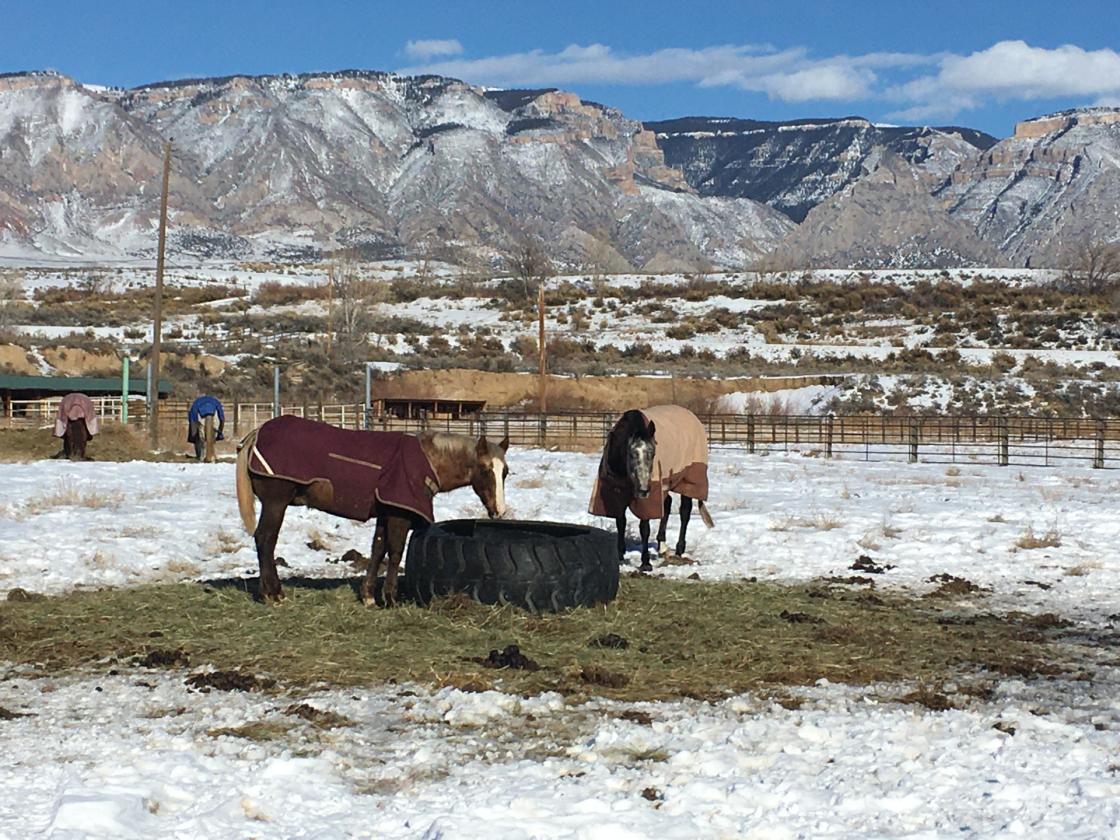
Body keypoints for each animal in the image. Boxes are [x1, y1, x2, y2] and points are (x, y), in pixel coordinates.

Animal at [235, 414, 510, 606]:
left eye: (505, 472)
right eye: (485, 470)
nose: (499, 511)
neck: (427, 462)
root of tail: (257, 434)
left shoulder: (386, 513)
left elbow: (378, 549)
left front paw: (369, 597)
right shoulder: (399, 515)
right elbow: (396, 552)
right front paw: (390, 598)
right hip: (276, 502)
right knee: (265, 539)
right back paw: (274, 594)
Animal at [589, 405, 714, 571]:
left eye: (653, 453)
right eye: (632, 454)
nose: (643, 490)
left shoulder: (650, 496)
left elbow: (644, 527)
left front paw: (645, 563)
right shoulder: (615, 491)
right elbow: (620, 522)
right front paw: (620, 555)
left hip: (687, 480)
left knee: (684, 512)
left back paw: (679, 550)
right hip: (665, 484)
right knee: (666, 506)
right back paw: (663, 547)